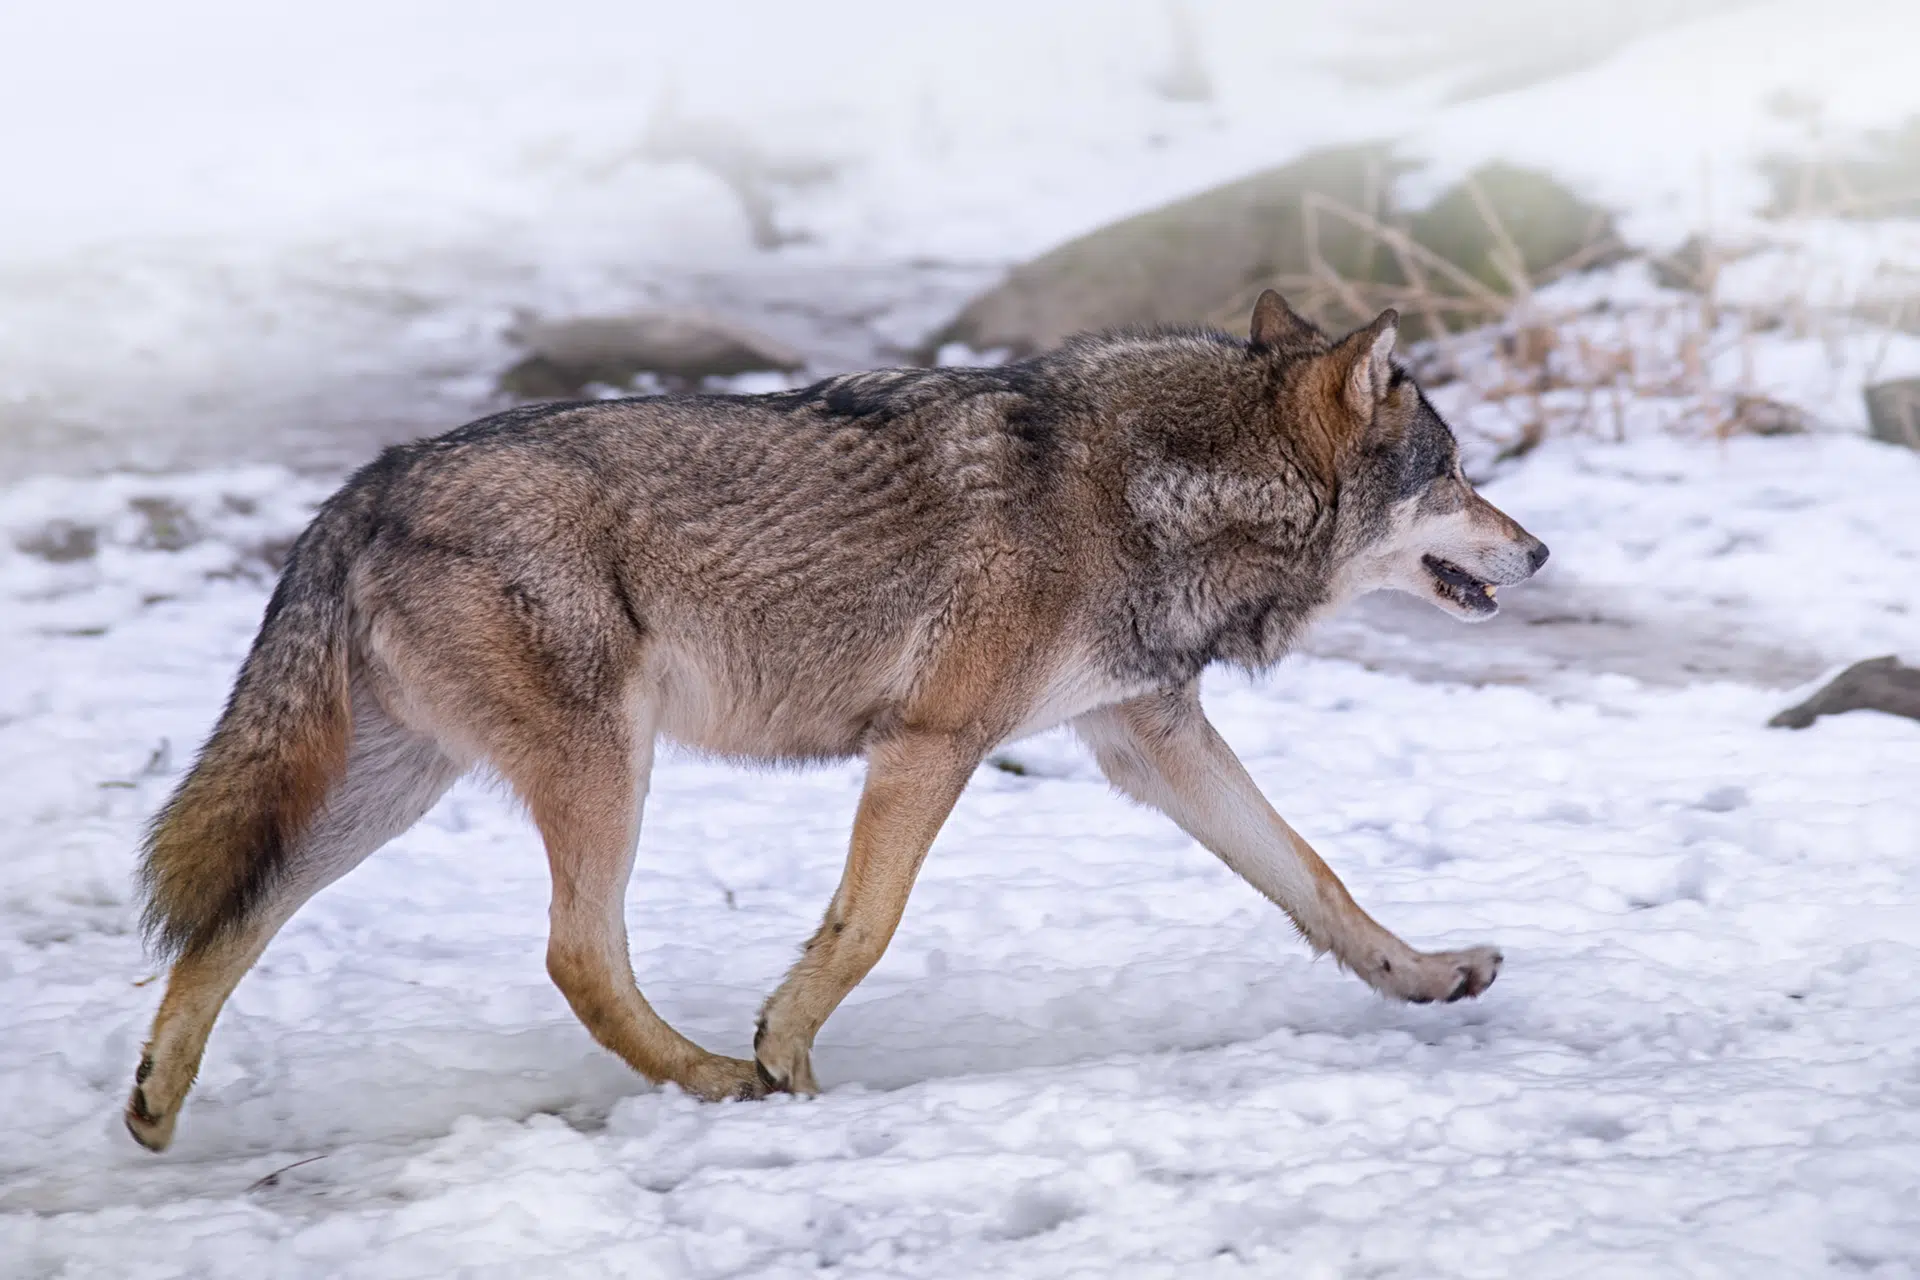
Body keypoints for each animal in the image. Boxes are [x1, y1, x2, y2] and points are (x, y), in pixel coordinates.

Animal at [127, 289, 1543, 1151]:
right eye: (1457, 472)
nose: (1538, 549)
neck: (1169, 490)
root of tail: (365, 487)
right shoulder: (933, 744)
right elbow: (864, 927)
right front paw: (787, 1055)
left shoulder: (1149, 738)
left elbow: (1316, 877)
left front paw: (1427, 974)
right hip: (604, 763)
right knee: (577, 955)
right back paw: (718, 1078)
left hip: (396, 790)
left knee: (229, 925)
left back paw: (151, 1106)